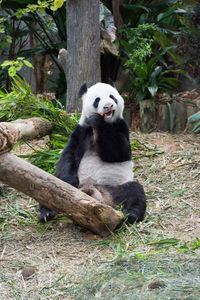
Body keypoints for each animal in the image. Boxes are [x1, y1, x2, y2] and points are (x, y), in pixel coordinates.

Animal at [39, 83, 146, 224]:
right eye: (97, 100)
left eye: (112, 97)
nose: (108, 106)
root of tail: (97, 195)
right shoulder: (82, 130)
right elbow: (69, 155)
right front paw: (70, 180)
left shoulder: (122, 126)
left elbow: (119, 153)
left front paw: (98, 121)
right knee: (47, 188)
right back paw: (47, 213)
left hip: (114, 189)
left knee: (135, 192)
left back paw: (130, 215)